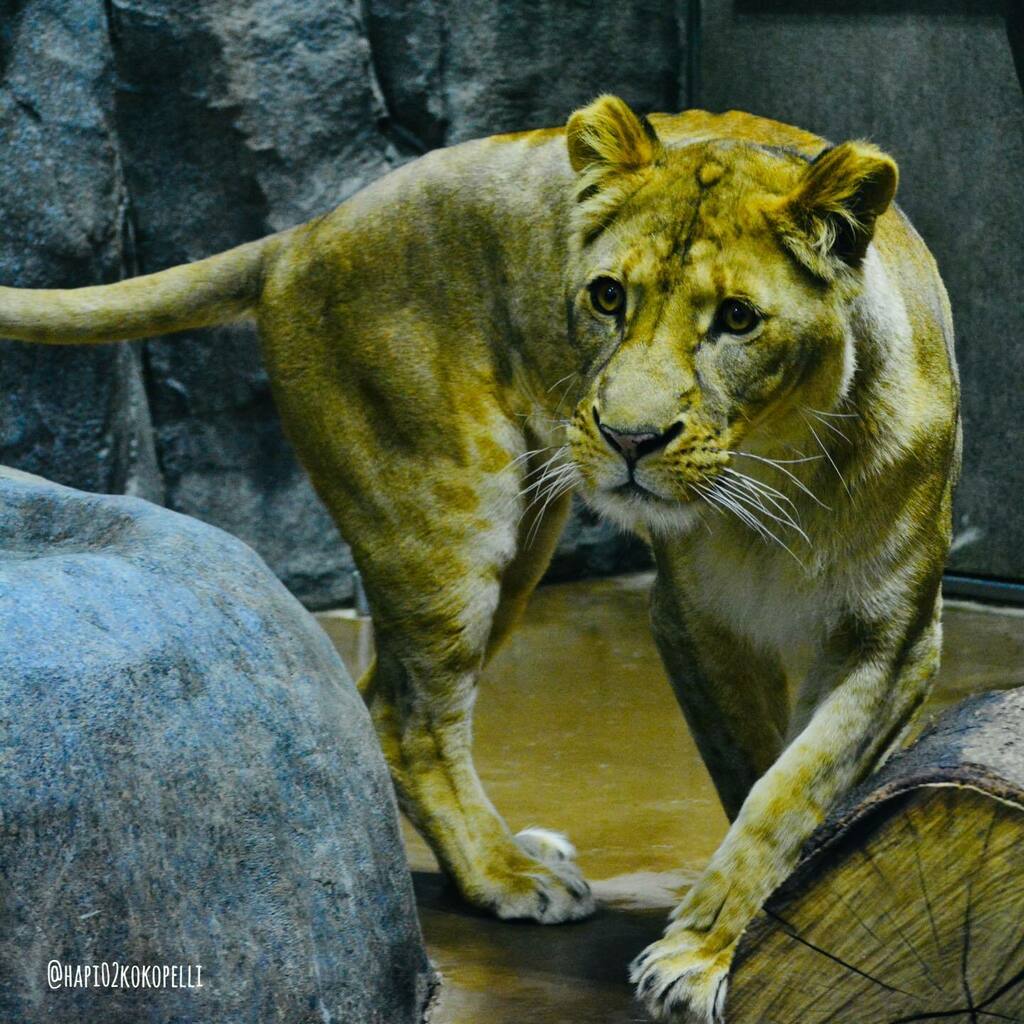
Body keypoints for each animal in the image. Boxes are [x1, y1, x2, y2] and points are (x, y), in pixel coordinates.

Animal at [0, 96, 959, 1021]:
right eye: (608, 297)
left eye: (737, 319)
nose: (630, 439)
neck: (781, 488)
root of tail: (303, 233)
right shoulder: (692, 623)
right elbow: (756, 778)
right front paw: (713, 949)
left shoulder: (896, 642)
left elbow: (795, 791)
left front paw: (714, 946)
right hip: (453, 518)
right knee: (409, 718)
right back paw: (506, 873)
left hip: (521, 538)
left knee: (381, 697)